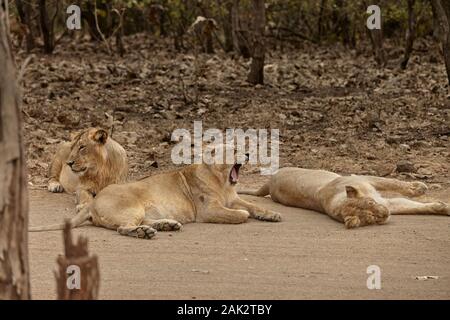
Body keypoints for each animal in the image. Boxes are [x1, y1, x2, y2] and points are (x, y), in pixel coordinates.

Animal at [29, 161, 280, 239]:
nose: (246, 154)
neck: (223, 183)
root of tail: (92, 202)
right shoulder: (208, 210)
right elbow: (239, 215)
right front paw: (243, 215)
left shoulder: (234, 198)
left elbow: (253, 205)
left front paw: (271, 214)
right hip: (132, 208)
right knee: (123, 228)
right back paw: (145, 233)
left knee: (141, 223)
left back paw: (167, 225)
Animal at [237, 166, 448, 229]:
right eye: (370, 218)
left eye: (371, 202)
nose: (384, 214)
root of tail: (270, 182)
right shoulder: (387, 202)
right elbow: (409, 202)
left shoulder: (365, 181)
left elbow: (394, 184)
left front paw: (421, 189)